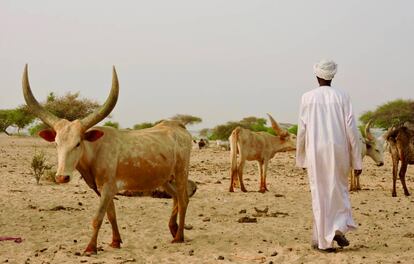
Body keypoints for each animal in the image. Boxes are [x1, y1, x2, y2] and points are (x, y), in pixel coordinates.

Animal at [23, 65, 194, 255]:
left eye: (78, 143)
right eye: (56, 143)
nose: (62, 177)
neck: (95, 151)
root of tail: (178, 126)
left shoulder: (107, 187)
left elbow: (98, 217)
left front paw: (91, 248)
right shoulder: (103, 190)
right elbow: (111, 214)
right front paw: (115, 241)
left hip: (181, 172)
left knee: (184, 199)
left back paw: (179, 236)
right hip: (164, 179)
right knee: (176, 196)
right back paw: (173, 228)